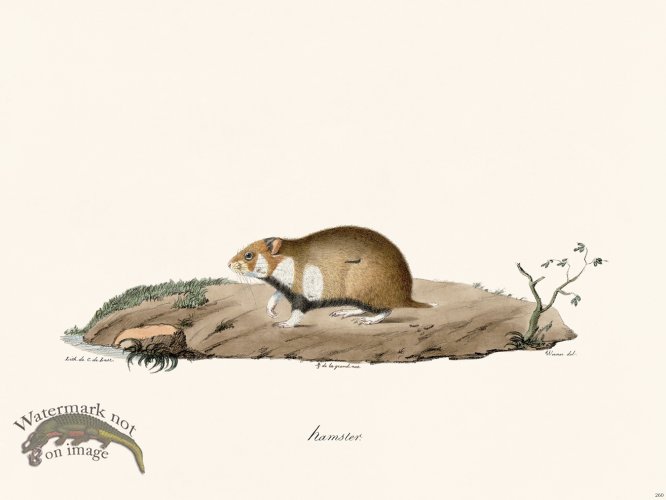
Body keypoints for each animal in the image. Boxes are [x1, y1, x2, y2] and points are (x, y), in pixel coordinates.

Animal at [228, 226, 432, 328]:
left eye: (248, 255)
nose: (228, 264)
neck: (287, 259)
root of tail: (406, 296)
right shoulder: (285, 288)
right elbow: (274, 296)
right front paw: (271, 311)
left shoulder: (302, 296)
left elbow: (297, 313)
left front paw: (285, 323)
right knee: (363, 308)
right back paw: (343, 311)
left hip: (365, 291)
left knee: (386, 310)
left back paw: (368, 320)